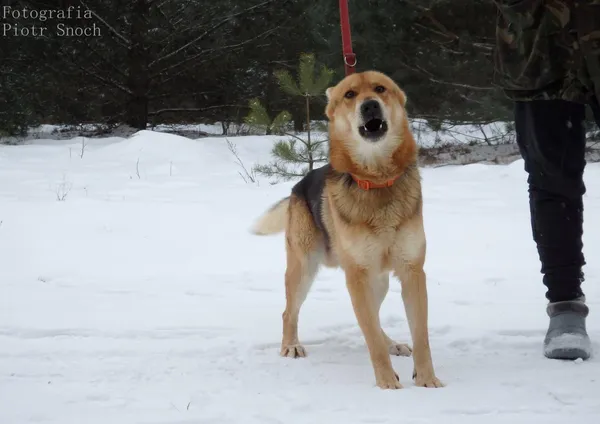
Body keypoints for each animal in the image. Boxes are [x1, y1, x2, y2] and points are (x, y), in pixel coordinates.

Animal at [251, 70, 442, 390]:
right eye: (350, 95)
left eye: (380, 89)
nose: (370, 105)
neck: (377, 181)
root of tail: (297, 186)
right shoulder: (357, 275)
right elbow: (372, 339)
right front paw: (387, 383)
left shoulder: (412, 271)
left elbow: (421, 337)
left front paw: (428, 380)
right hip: (305, 267)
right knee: (289, 312)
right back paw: (291, 345)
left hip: (378, 280)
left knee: (373, 318)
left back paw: (393, 343)